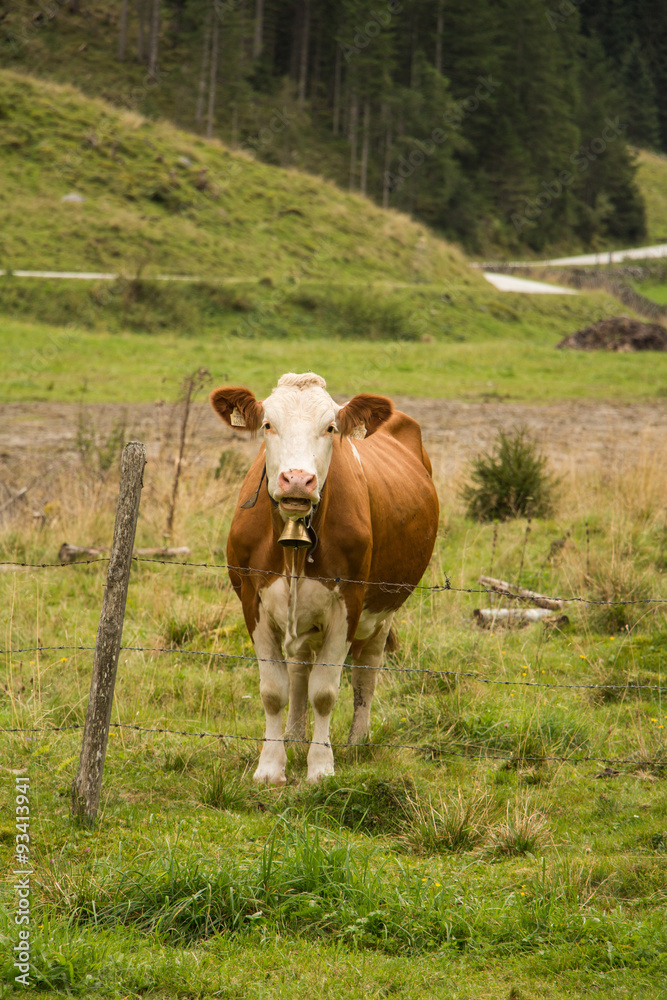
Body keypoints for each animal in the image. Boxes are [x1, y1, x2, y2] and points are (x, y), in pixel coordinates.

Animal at [210, 372, 439, 785]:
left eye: (330, 428)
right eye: (267, 424)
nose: (298, 480)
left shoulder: (348, 604)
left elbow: (325, 692)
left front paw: (320, 766)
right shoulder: (252, 601)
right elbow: (274, 690)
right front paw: (271, 766)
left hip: (384, 609)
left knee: (367, 671)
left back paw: (357, 741)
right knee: (300, 668)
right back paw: (295, 735)